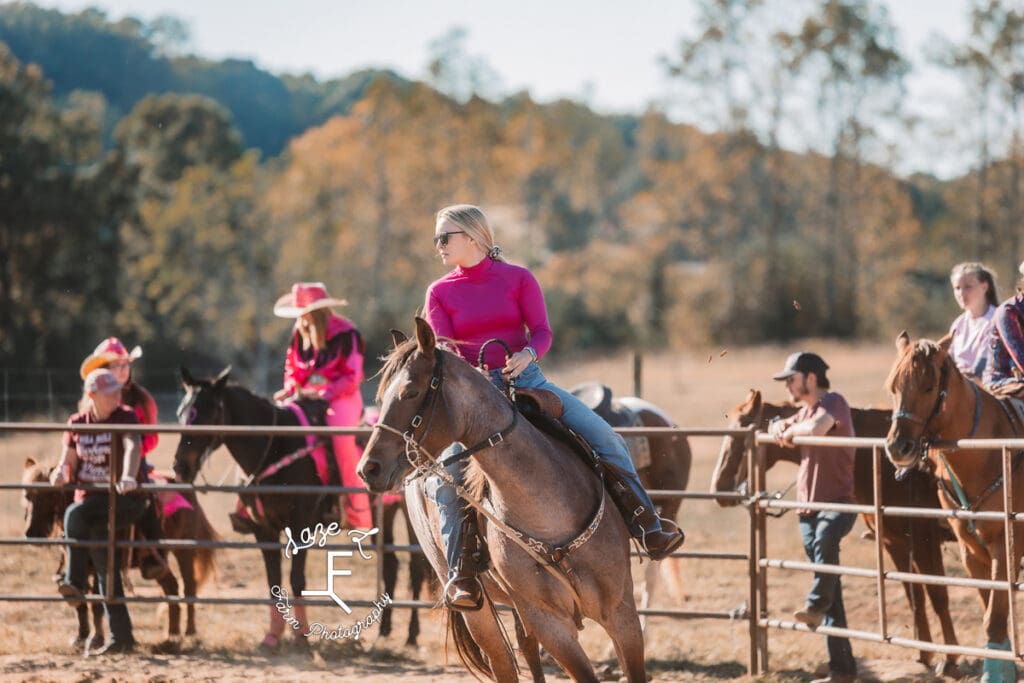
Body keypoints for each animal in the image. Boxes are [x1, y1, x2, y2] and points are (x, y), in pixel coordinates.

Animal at [23, 456, 218, 651]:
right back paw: (172, 635)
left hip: (184, 550)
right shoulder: (79, 567)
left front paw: (96, 640)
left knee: (189, 588)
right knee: (171, 586)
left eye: (49, 494)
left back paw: (190, 633)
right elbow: (80, 603)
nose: (31, 533)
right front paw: (80, 638)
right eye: (27, 495)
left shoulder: (101, 565)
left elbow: (96, 603)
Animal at [171, 368, 423, 651]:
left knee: (416, 567)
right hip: (385, 515)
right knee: (391, 565)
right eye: (182, 412)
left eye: (208, 412)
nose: (180, 466)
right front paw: (273, 636)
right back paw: (384, 631)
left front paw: (301, 635)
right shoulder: (264, 530)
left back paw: (412, 635)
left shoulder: (301, 525)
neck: (276, 446)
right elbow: (273, 581)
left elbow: (296, 579)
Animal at [358, 321, 647, 683]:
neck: (548, 515)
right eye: (381, 398)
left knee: (526, 648)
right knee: (503, 662)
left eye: (410, 391)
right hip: (477, 609)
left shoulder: (623, 613)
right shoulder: (549, 623)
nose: (368, 468)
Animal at [712, 389, 958, 679]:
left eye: (740, 435)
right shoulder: (895, 541)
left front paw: (950, 660)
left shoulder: (923, 539)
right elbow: (915, 596)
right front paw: (923, 656)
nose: (719, 488)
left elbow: (937, 593)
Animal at [884, 331, 1024, 679]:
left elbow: (994, 617)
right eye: (893, 387)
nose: (897, 447)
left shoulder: (1007, 544)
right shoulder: (970, 550)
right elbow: (990, 610)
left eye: (928, 386)